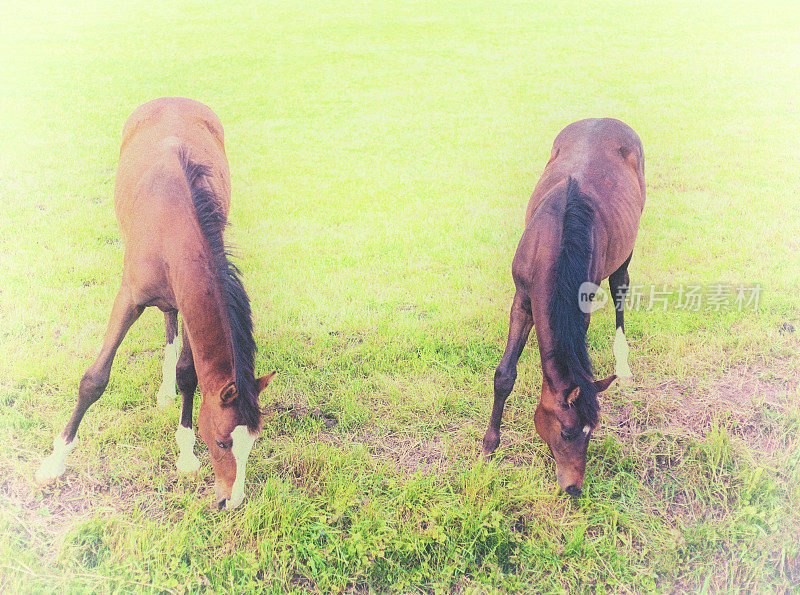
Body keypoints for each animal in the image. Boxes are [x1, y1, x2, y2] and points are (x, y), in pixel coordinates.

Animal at [36, 100, 276, 510]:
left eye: (252, 444)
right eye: (222, 442)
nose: (232, 502)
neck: (172, 223)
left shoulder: (190, 304)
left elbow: (189, 374)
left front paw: (185, 452)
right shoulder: (128, 299)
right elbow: (94, 380)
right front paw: (55, 461)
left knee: (171, 324)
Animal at [482, 118, 644, 496]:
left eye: (592, 431)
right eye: (568, 433)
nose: (574, 488)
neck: (554, 244)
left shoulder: (580, 306)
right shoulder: (523, 299)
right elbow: (504, 375)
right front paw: (489, 446)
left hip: (627, 246)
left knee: (620, 288)